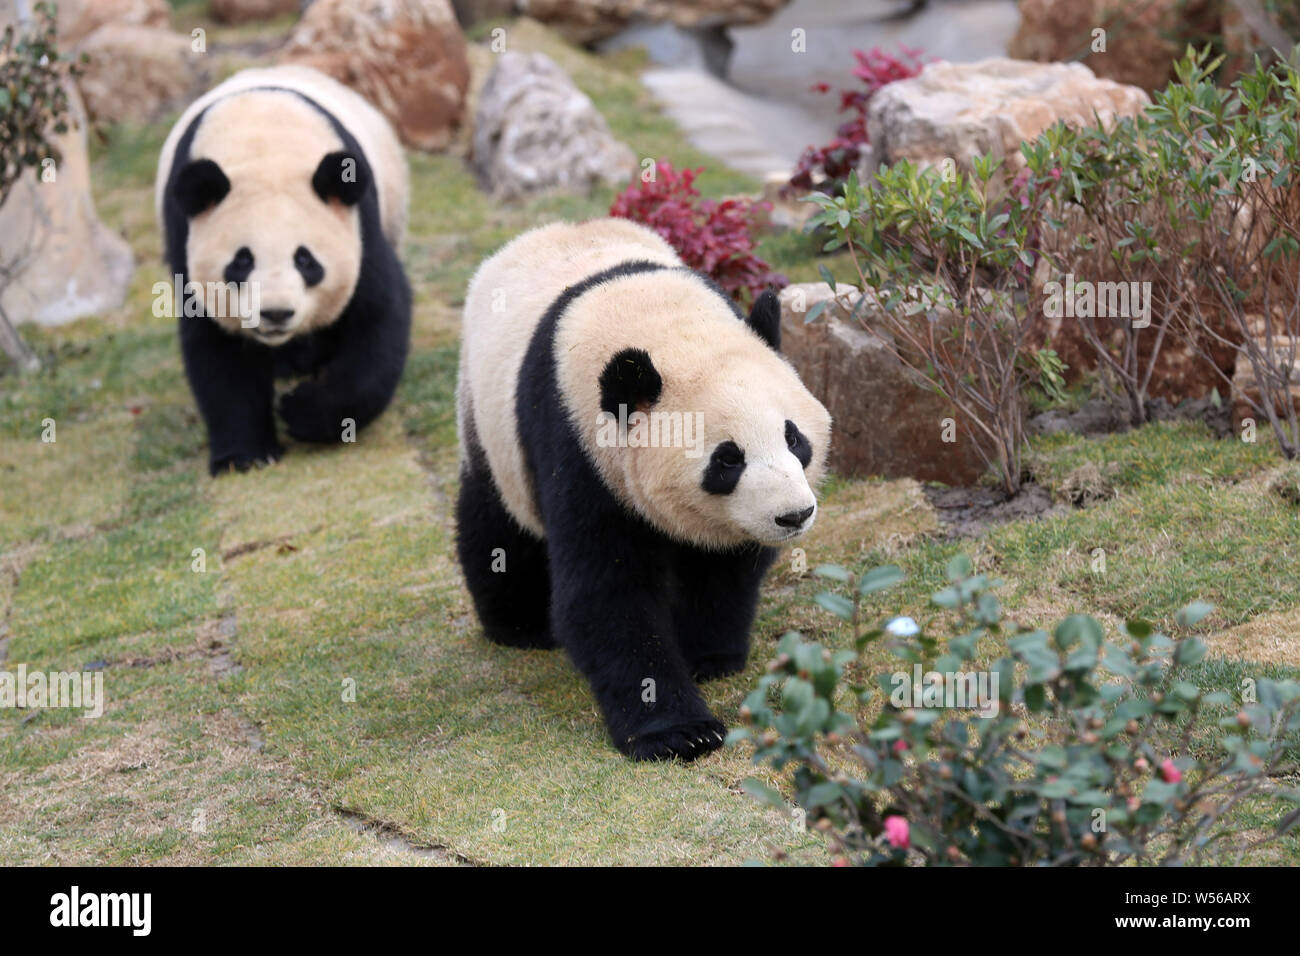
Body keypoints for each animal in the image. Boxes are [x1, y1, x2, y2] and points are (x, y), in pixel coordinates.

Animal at [156, 63, 410, 476]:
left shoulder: (360, 224)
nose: (275, 313)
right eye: (242, 261)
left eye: (305, 260)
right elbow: (219, 350)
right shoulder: (185, 236)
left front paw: (303, 411)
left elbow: (377, 317)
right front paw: (244, 455)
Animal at [457, 218, 832, 764]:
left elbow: (724, 570)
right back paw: (518, 625)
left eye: (794, 438)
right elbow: (607, 590)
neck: (663, 323)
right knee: (496, 525)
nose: (794, 515)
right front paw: (680, 732)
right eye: (728, 460)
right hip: (490, 424)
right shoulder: (577, 445)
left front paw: (709, 654)